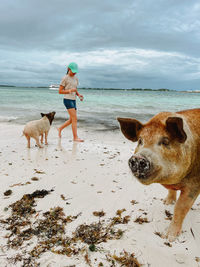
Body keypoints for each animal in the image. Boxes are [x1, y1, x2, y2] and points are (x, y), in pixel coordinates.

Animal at [117, 109, 200, 243]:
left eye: (165, 142)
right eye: (140, 141)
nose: (138, 158)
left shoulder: (194, 184)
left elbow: (180, 208)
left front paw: (168, 237)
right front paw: (166, 203)